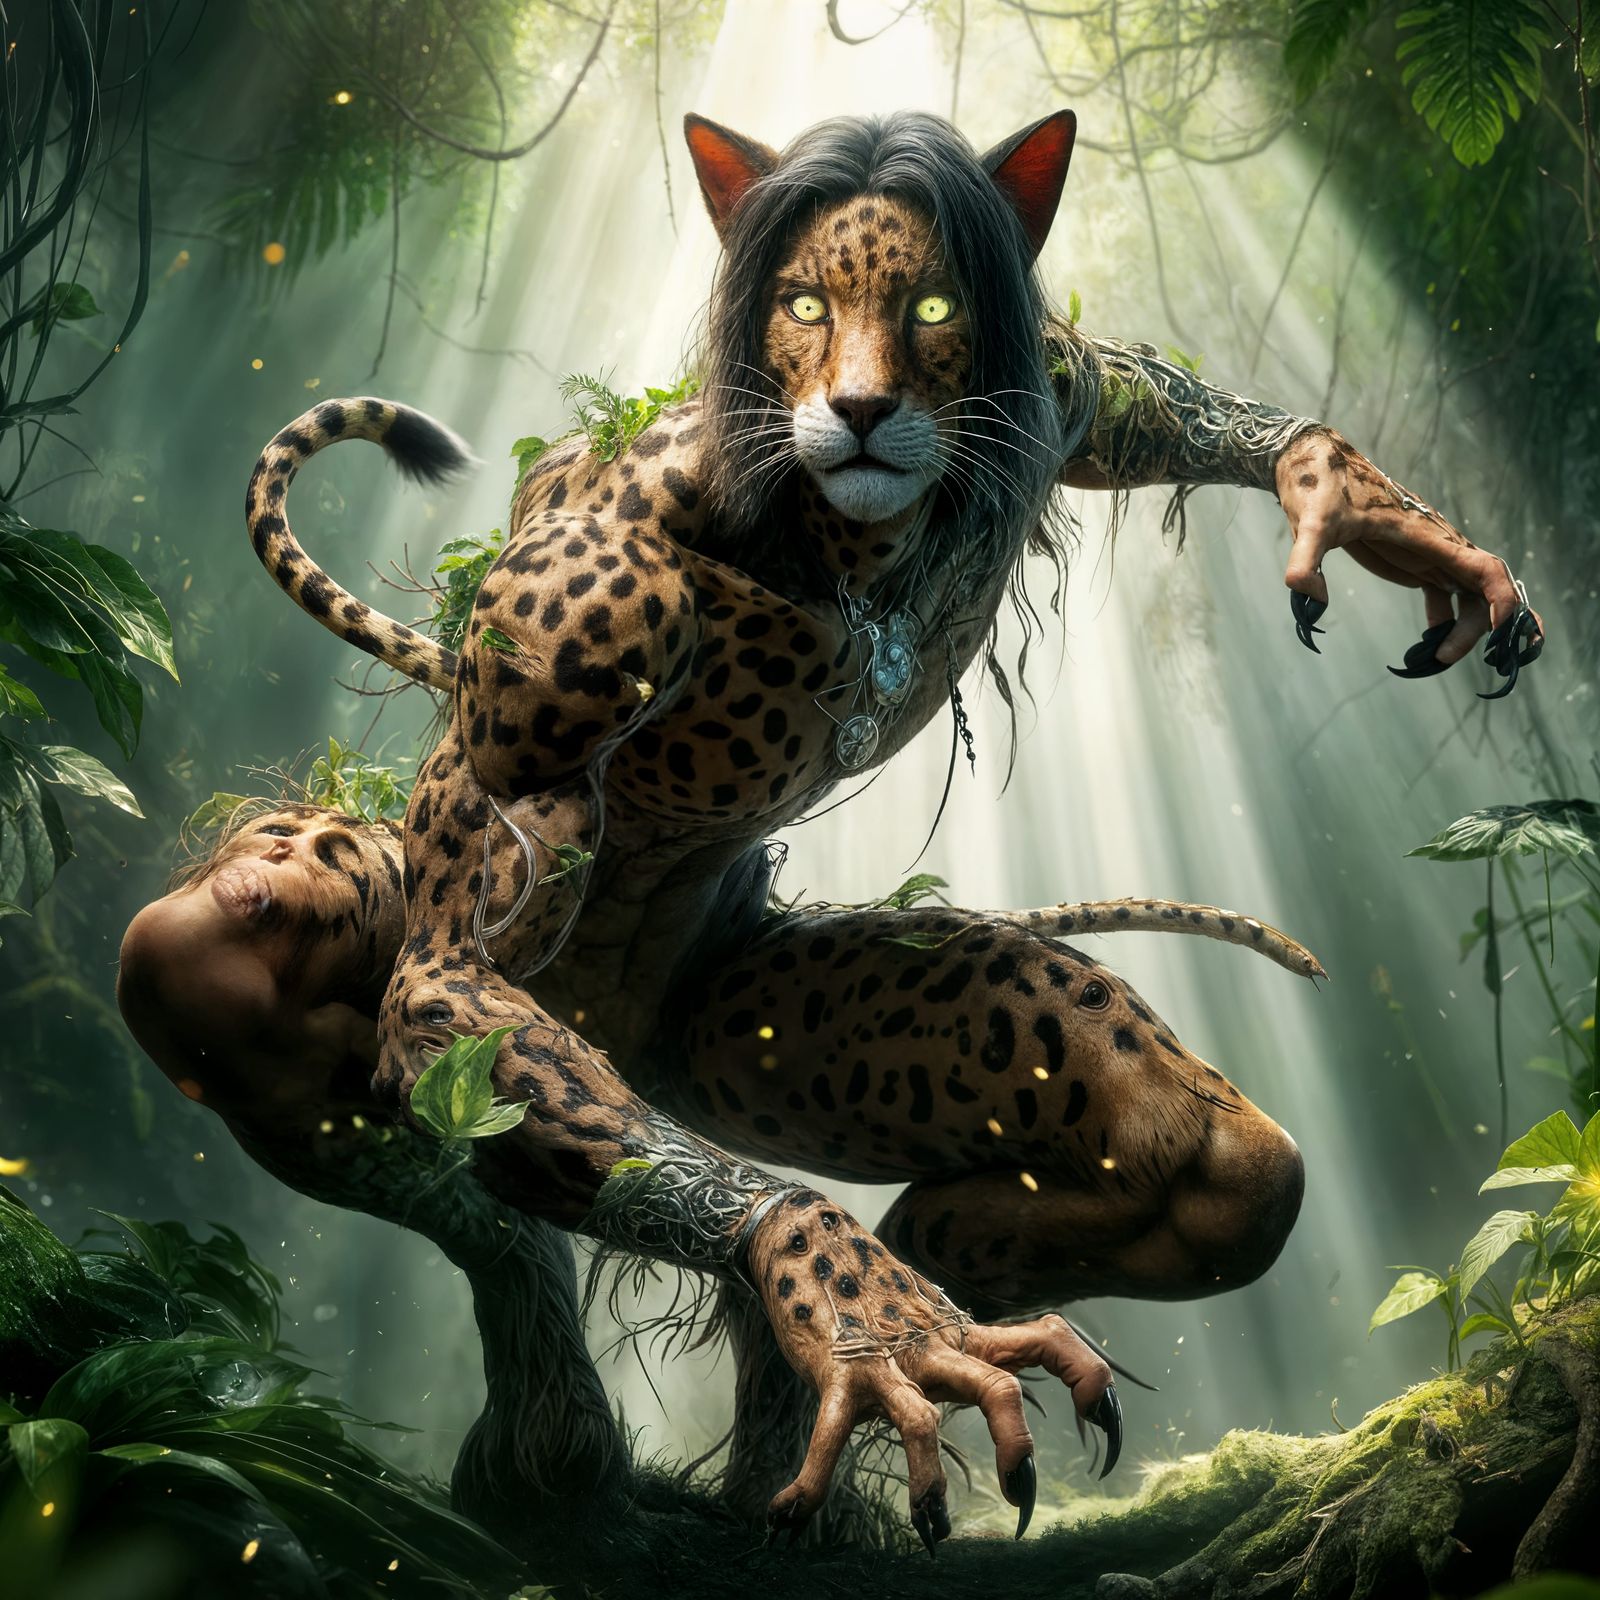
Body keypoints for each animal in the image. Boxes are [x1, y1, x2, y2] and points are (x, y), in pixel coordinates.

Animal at [240, 108, 1544, 1549]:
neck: (847, 559)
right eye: (804, 303)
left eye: (929, 305)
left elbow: (1149, 397)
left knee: (1210, 1169)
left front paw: (1351, 498)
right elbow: (456, 964)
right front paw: (845, 1303)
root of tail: (622, 1037)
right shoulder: (579, 630)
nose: (862, 410)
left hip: (757, 1029)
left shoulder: (1052, 395)